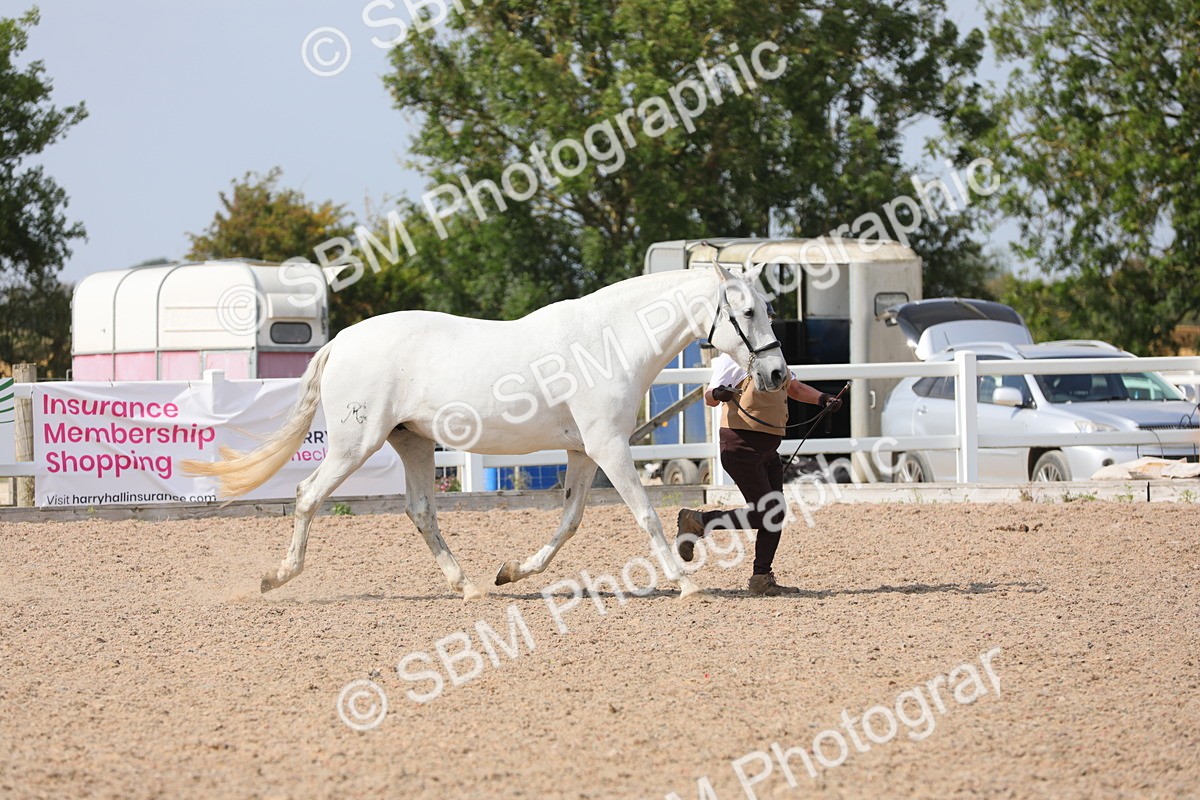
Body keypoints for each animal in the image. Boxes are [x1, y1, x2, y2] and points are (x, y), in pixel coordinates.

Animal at [182, 262, 788, 600]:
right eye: (748, 312)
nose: (779, 374)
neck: (608, 341)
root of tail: (341, 342)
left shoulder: (584, 452)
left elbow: (569, 522)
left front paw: (512, 572)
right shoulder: (610, 448)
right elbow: (645, 515)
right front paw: (684, 583)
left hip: (413, 442)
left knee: (421, 512)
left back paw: (469, 585)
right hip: (357, 444)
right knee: (308, 495)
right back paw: (277, 578)